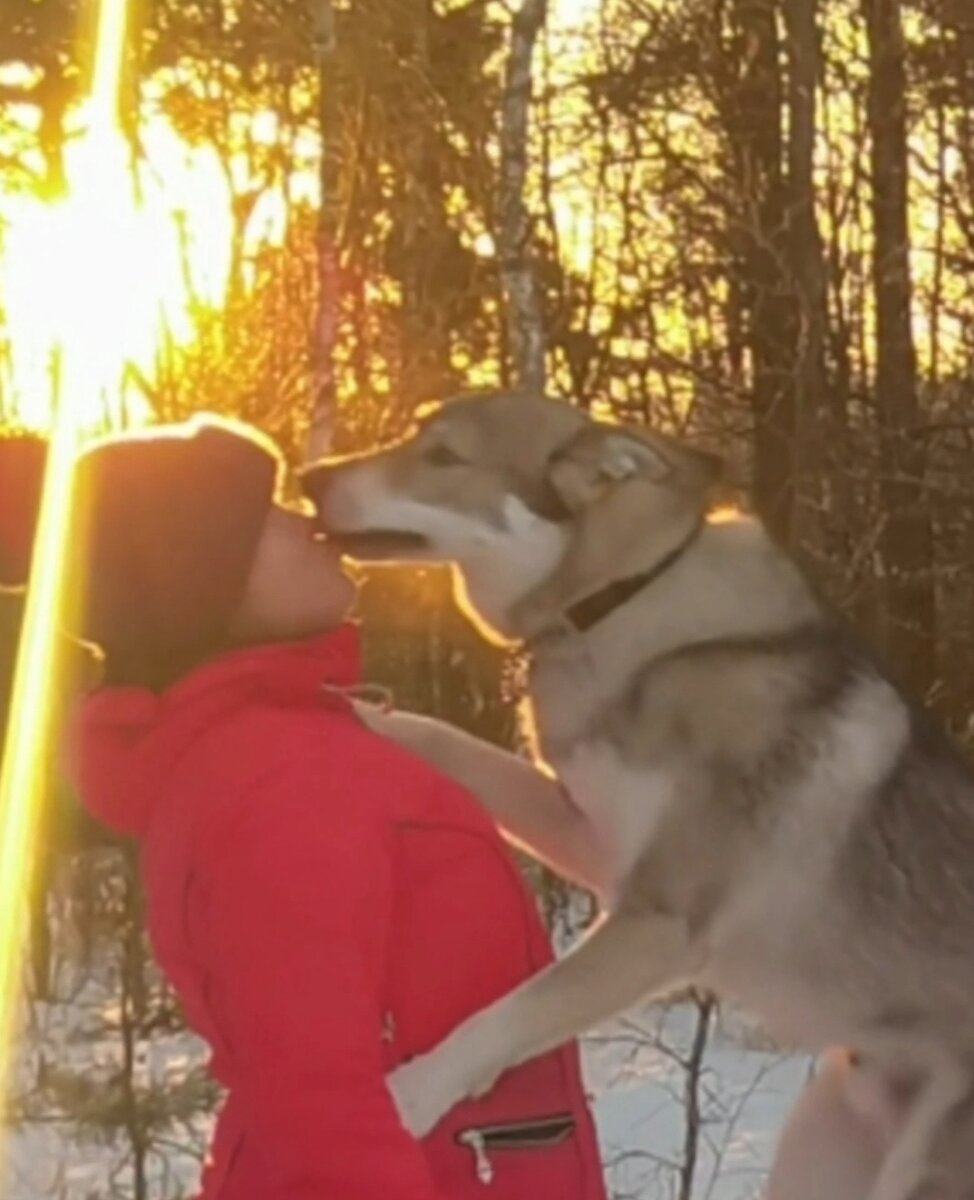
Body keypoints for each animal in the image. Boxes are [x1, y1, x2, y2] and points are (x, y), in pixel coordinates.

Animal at [305, 393, 974, 1200]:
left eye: (444, 456)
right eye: (414, 435)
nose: (308, 478)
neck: (620, 607)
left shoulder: (659, 921)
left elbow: (505, 1018)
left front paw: (408, 1094)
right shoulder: (593, 844)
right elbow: (453, 745)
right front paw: (362, 713)